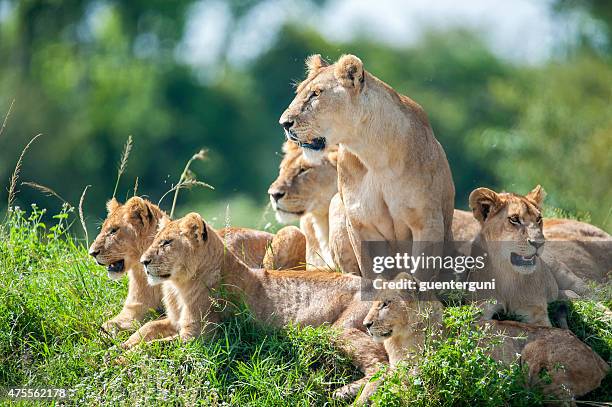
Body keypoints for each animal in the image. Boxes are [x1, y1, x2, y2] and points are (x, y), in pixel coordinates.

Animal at [125, 215, 388, 404]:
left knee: (382, 365)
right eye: (156, 240)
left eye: (167, 242)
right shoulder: (174, 322)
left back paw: (353, 397)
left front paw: (121, 358)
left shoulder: (199, 339)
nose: (144, 261)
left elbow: (155, 346)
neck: (178, 287)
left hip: (339, 329)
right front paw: (122, 345)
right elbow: (146, 329)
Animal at [278, 54, 454, 282]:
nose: (284, 123)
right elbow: (372, 273)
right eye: (299, 92)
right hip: (336, 204)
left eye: (316, 93)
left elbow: (421, 275)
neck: (374, 156)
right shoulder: (361, 223)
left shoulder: (427, 222)